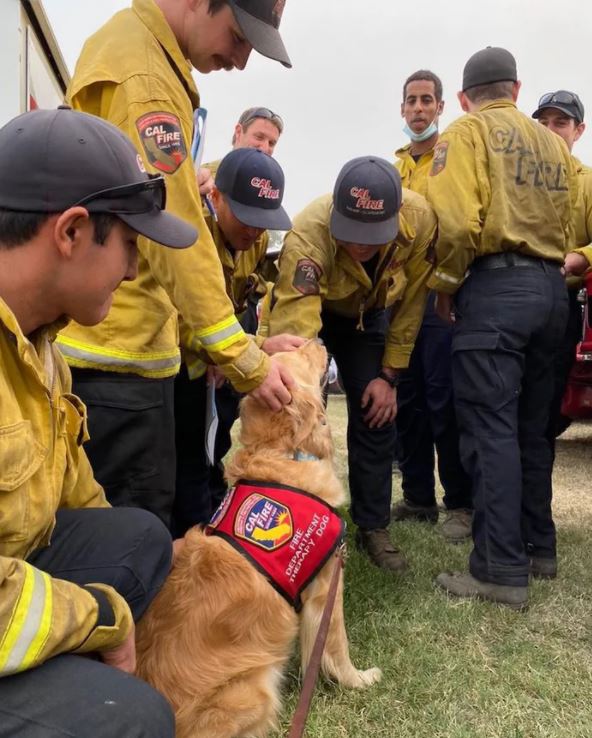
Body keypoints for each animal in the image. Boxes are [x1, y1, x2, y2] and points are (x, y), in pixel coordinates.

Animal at [136, 342, 382, 732]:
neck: (279, 452)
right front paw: (358, 679)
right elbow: (336, 643)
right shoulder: (327, 585)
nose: (318, 341)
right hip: (256, 693)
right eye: (300, 356)